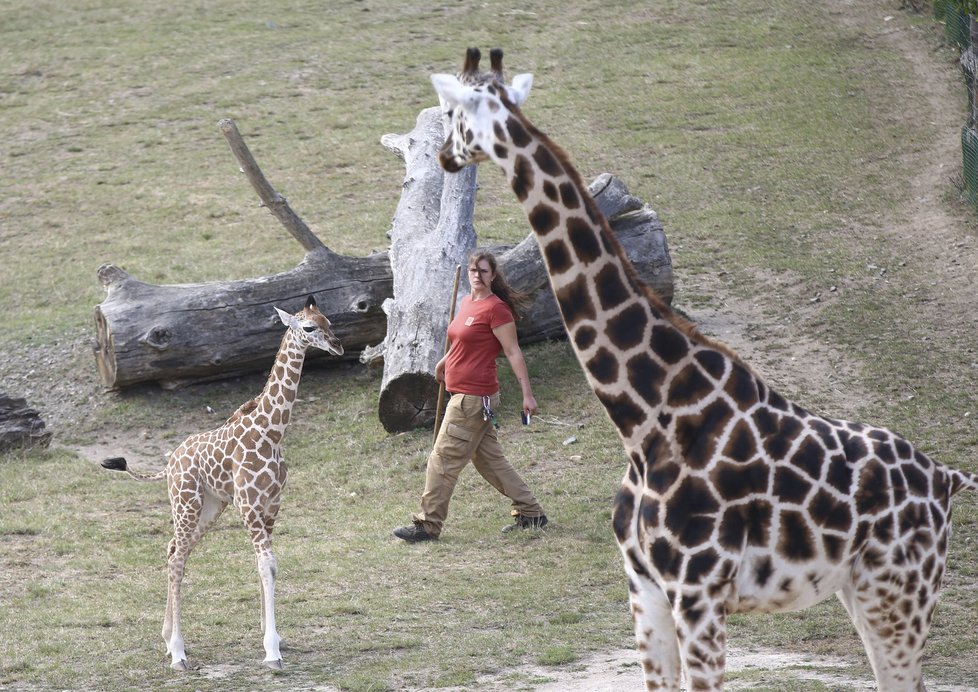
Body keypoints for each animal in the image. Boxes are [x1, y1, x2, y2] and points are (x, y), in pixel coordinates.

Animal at [100, 296, 344, 672]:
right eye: (309, 327)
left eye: (329, 321)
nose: (338, 345)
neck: (272, 432)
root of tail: (169, 463)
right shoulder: (249, 506)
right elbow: (267, 565)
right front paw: (271, 652)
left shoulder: (271, 505)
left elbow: (267, 565)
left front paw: (273, 639)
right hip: (185, 502)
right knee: (177, 558)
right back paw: (178, 652)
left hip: (211, 505)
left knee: (175, 549)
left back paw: (167, 640)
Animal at [428, 46, 976, 688]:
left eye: (451, 112)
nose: (443, 155)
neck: (644, 419)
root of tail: (946, 479)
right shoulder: (644, 586)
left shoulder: (699, 590)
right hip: (864, 588)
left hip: (900, 586)